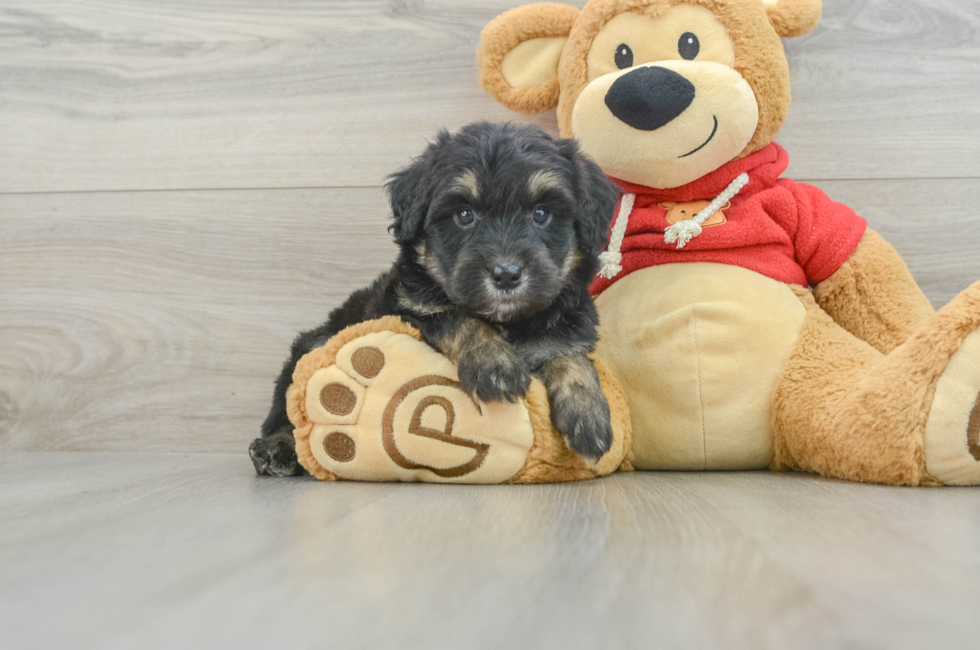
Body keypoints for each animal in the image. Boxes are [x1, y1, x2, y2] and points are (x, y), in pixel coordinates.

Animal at [253, 123, 620, 476]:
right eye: (464, 215)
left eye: (541, 214)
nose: (506, 275)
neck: (507, 323)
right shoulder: (409, 310)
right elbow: (457, 318)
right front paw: (494, 364)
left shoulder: (568, 328)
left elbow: (571, 356)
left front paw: (589, 415)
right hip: (314, 343)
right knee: (287, 408)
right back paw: (275, 447)